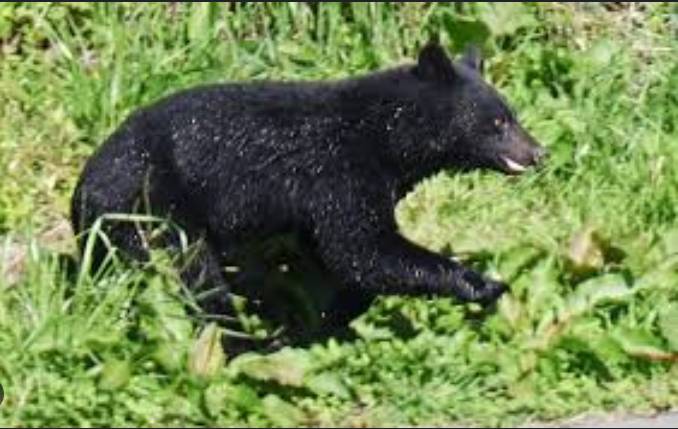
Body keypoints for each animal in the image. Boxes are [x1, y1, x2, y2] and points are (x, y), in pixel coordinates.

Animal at [70, 41, 546, 337]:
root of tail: (84, 186)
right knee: (196, 273)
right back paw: (239, 342)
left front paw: (326, 318)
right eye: (498, 122)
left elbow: (334, 259)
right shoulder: (339, 172)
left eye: (512, 114)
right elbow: (361, 249)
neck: (386, 136)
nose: (538, 152)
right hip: (151, 206)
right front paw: (484, 284)